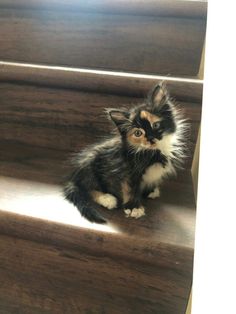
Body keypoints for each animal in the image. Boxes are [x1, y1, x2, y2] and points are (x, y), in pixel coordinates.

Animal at [63, 82, 187, 222]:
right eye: (138, 133)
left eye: (155, 125)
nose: (151, 138)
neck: (152, 152)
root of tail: (74, 177)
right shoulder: (127, 171)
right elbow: (130, 190)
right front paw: (134, 207)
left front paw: (150, 191)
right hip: (89, 166)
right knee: (87, 188)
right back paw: (107, 198)